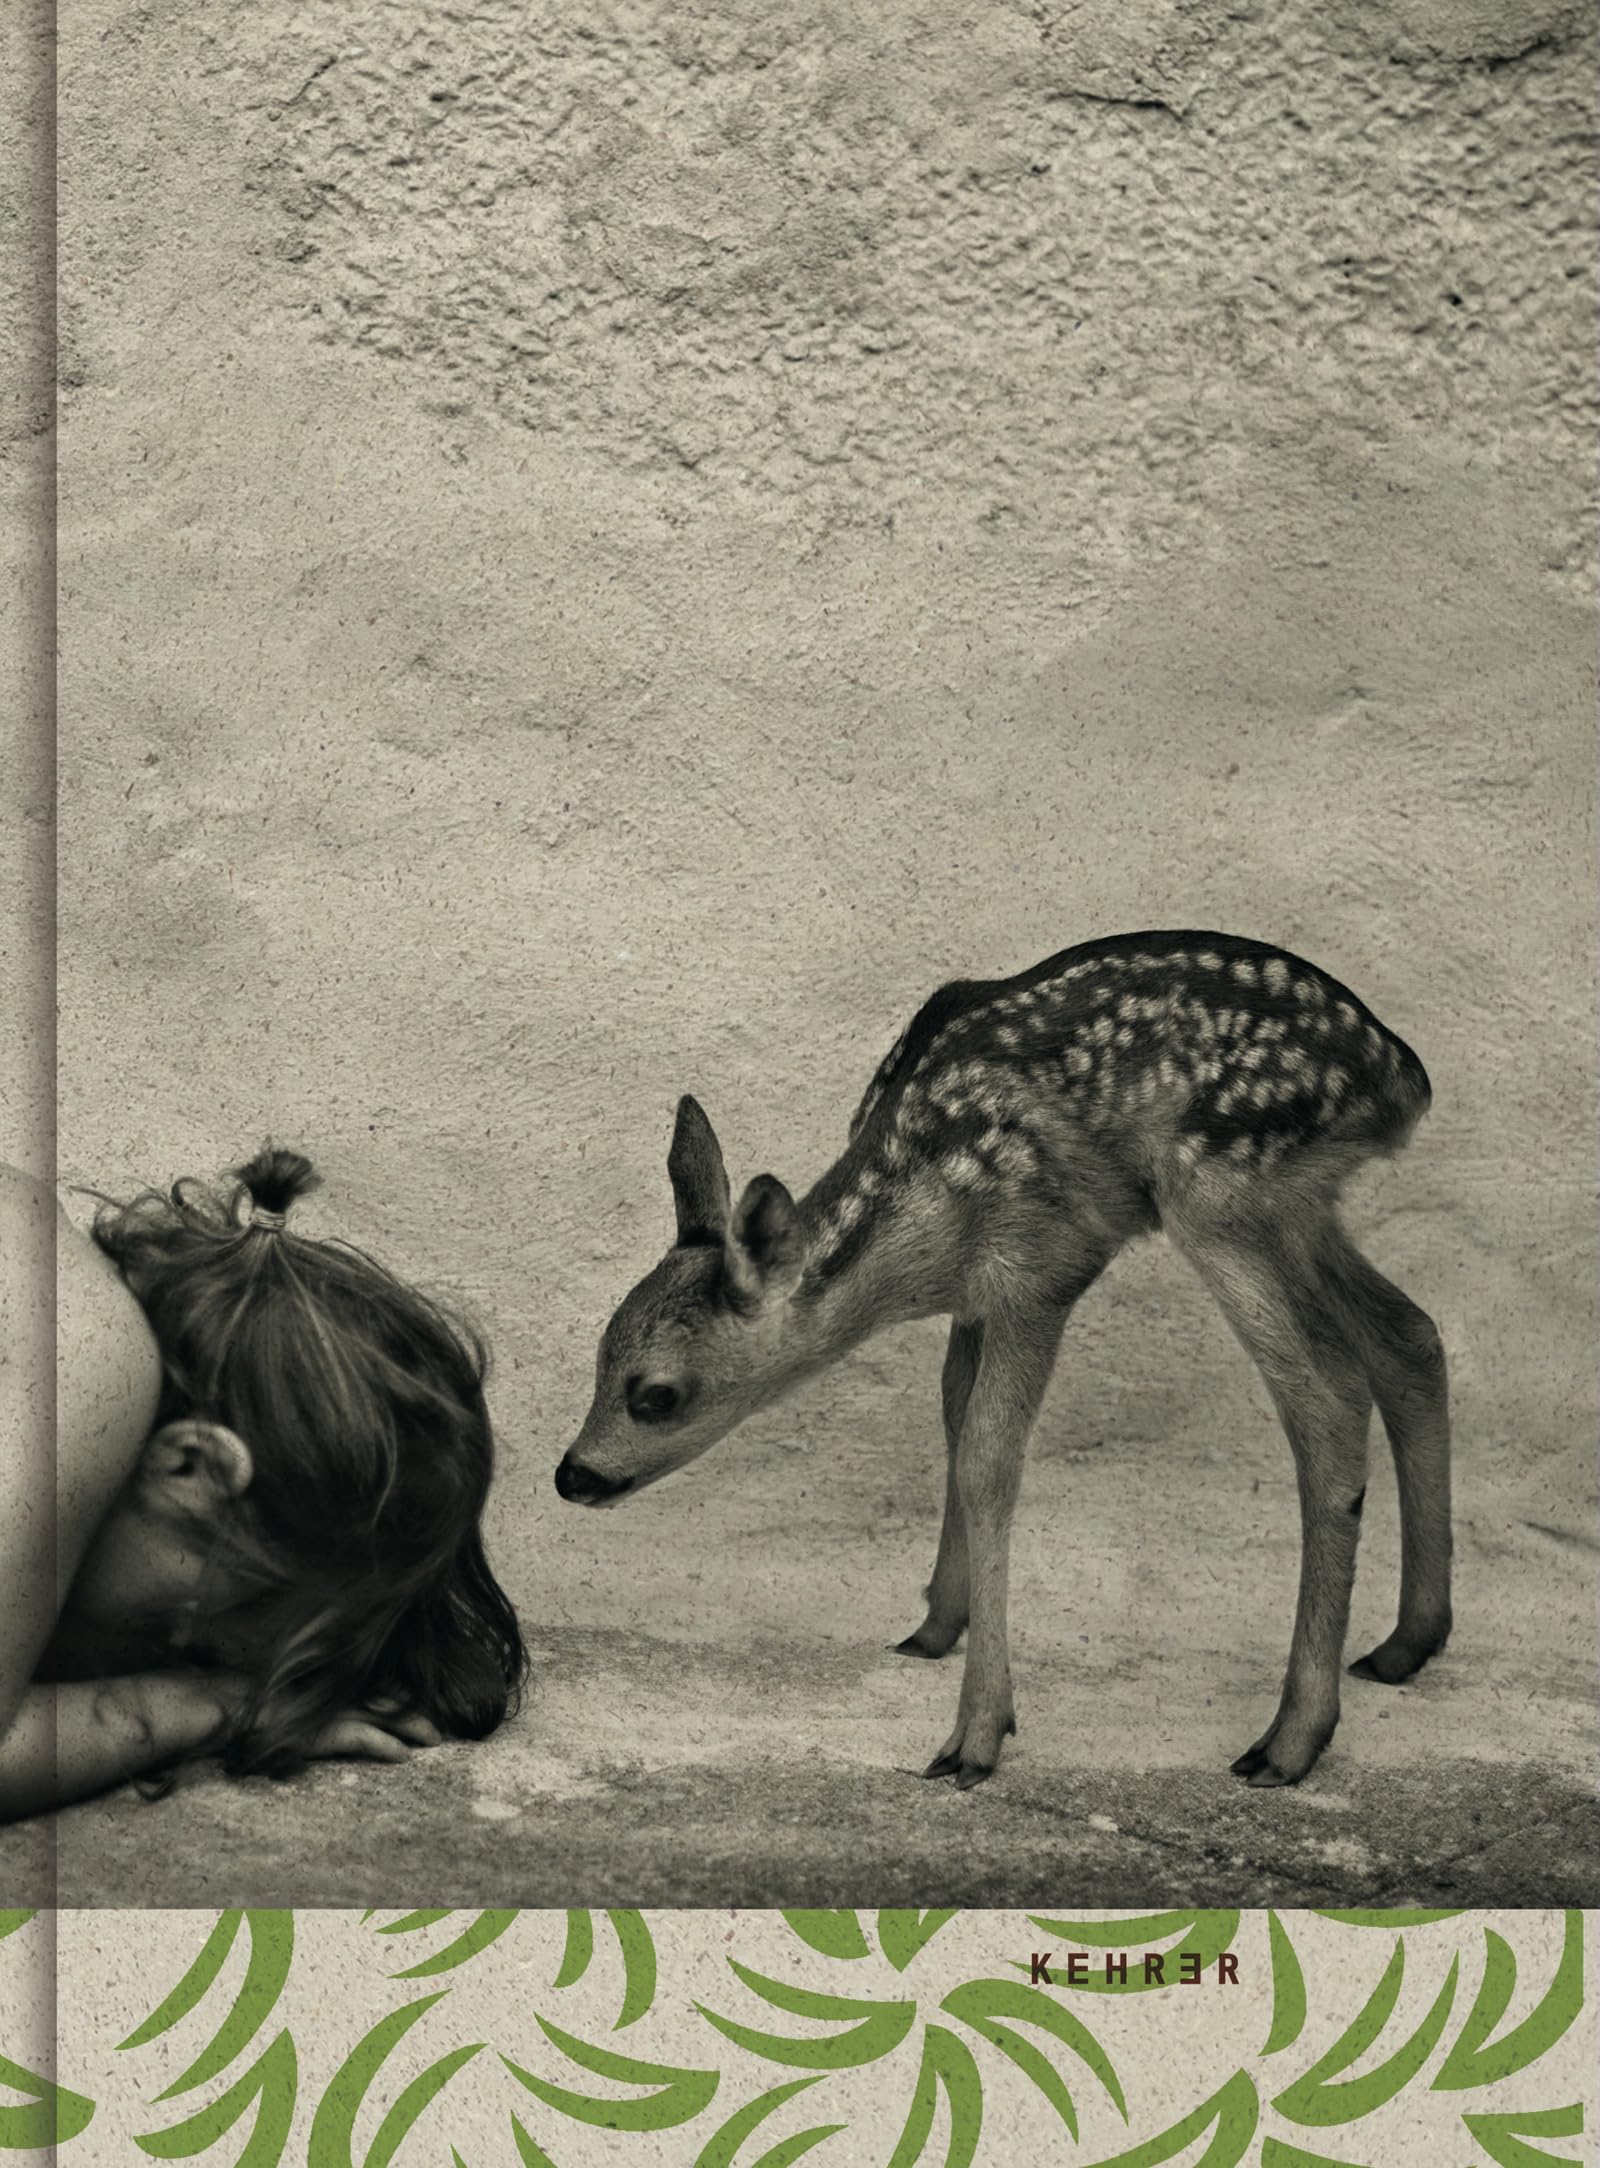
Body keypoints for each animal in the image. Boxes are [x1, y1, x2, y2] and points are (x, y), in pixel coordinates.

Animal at [555, 931, 1452, 1790]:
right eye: (598, 1356)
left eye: (657, 1394)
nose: (573, 1474)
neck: (923, 1225)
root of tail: (1403, 1078)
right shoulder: (974, 1301)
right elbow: (954, 1423)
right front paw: (934, 1626)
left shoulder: (1040, 1269)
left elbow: (988, 1460)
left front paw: (975, 1735)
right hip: (1297, 1206)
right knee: (1410, 1333)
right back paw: (1406, 1643)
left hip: (1225, 1191)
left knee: (1329, 1400)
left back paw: (1289, 1740)